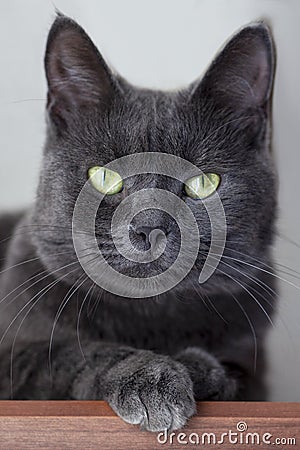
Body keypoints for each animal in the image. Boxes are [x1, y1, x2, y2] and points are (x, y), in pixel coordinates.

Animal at [0, 15, 276, 432]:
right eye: (105, 177)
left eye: (202, 183)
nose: (149, 226)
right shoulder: (12, 358)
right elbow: (71, 353)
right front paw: (150, 376)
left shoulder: (257, 367)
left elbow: (236, 371)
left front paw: (197, 368)